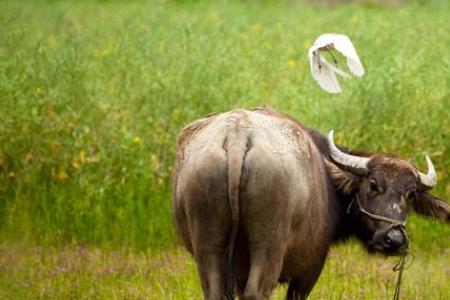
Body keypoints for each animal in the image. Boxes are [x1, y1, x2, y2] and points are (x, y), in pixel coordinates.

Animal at [172, 106, 450, 298]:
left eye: (410, 194)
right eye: (373, 184)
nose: (394, 240)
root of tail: (238, 137)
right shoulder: (310, 267)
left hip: (208, 245)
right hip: (268, 246)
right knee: (257, 290)